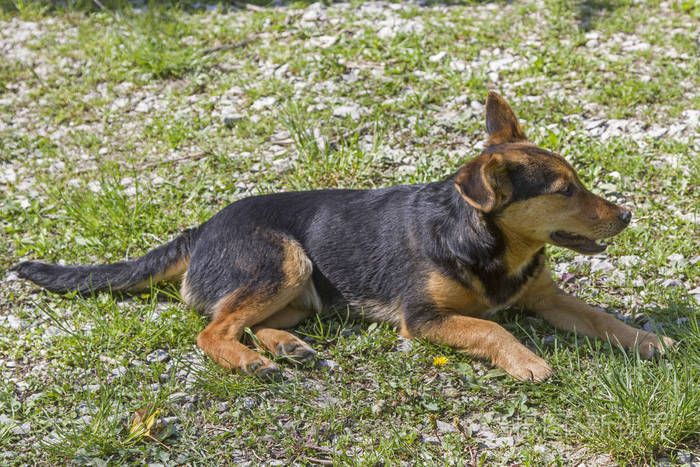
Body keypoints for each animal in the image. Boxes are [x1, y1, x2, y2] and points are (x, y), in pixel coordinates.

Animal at [10, 93, 676, 382]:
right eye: (564, 189)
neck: (490, 246)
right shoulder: (424, 318)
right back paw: (250, 361)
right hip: (282, 260)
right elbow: (491, 327)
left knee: (245, 320)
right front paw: (529, 361)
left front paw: (648, 341)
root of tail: (201, 229)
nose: (626, 216)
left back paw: (286, 347)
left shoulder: (548, 296)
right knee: (212, 330)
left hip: (301, 290)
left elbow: (601, 317)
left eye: (578, 180)